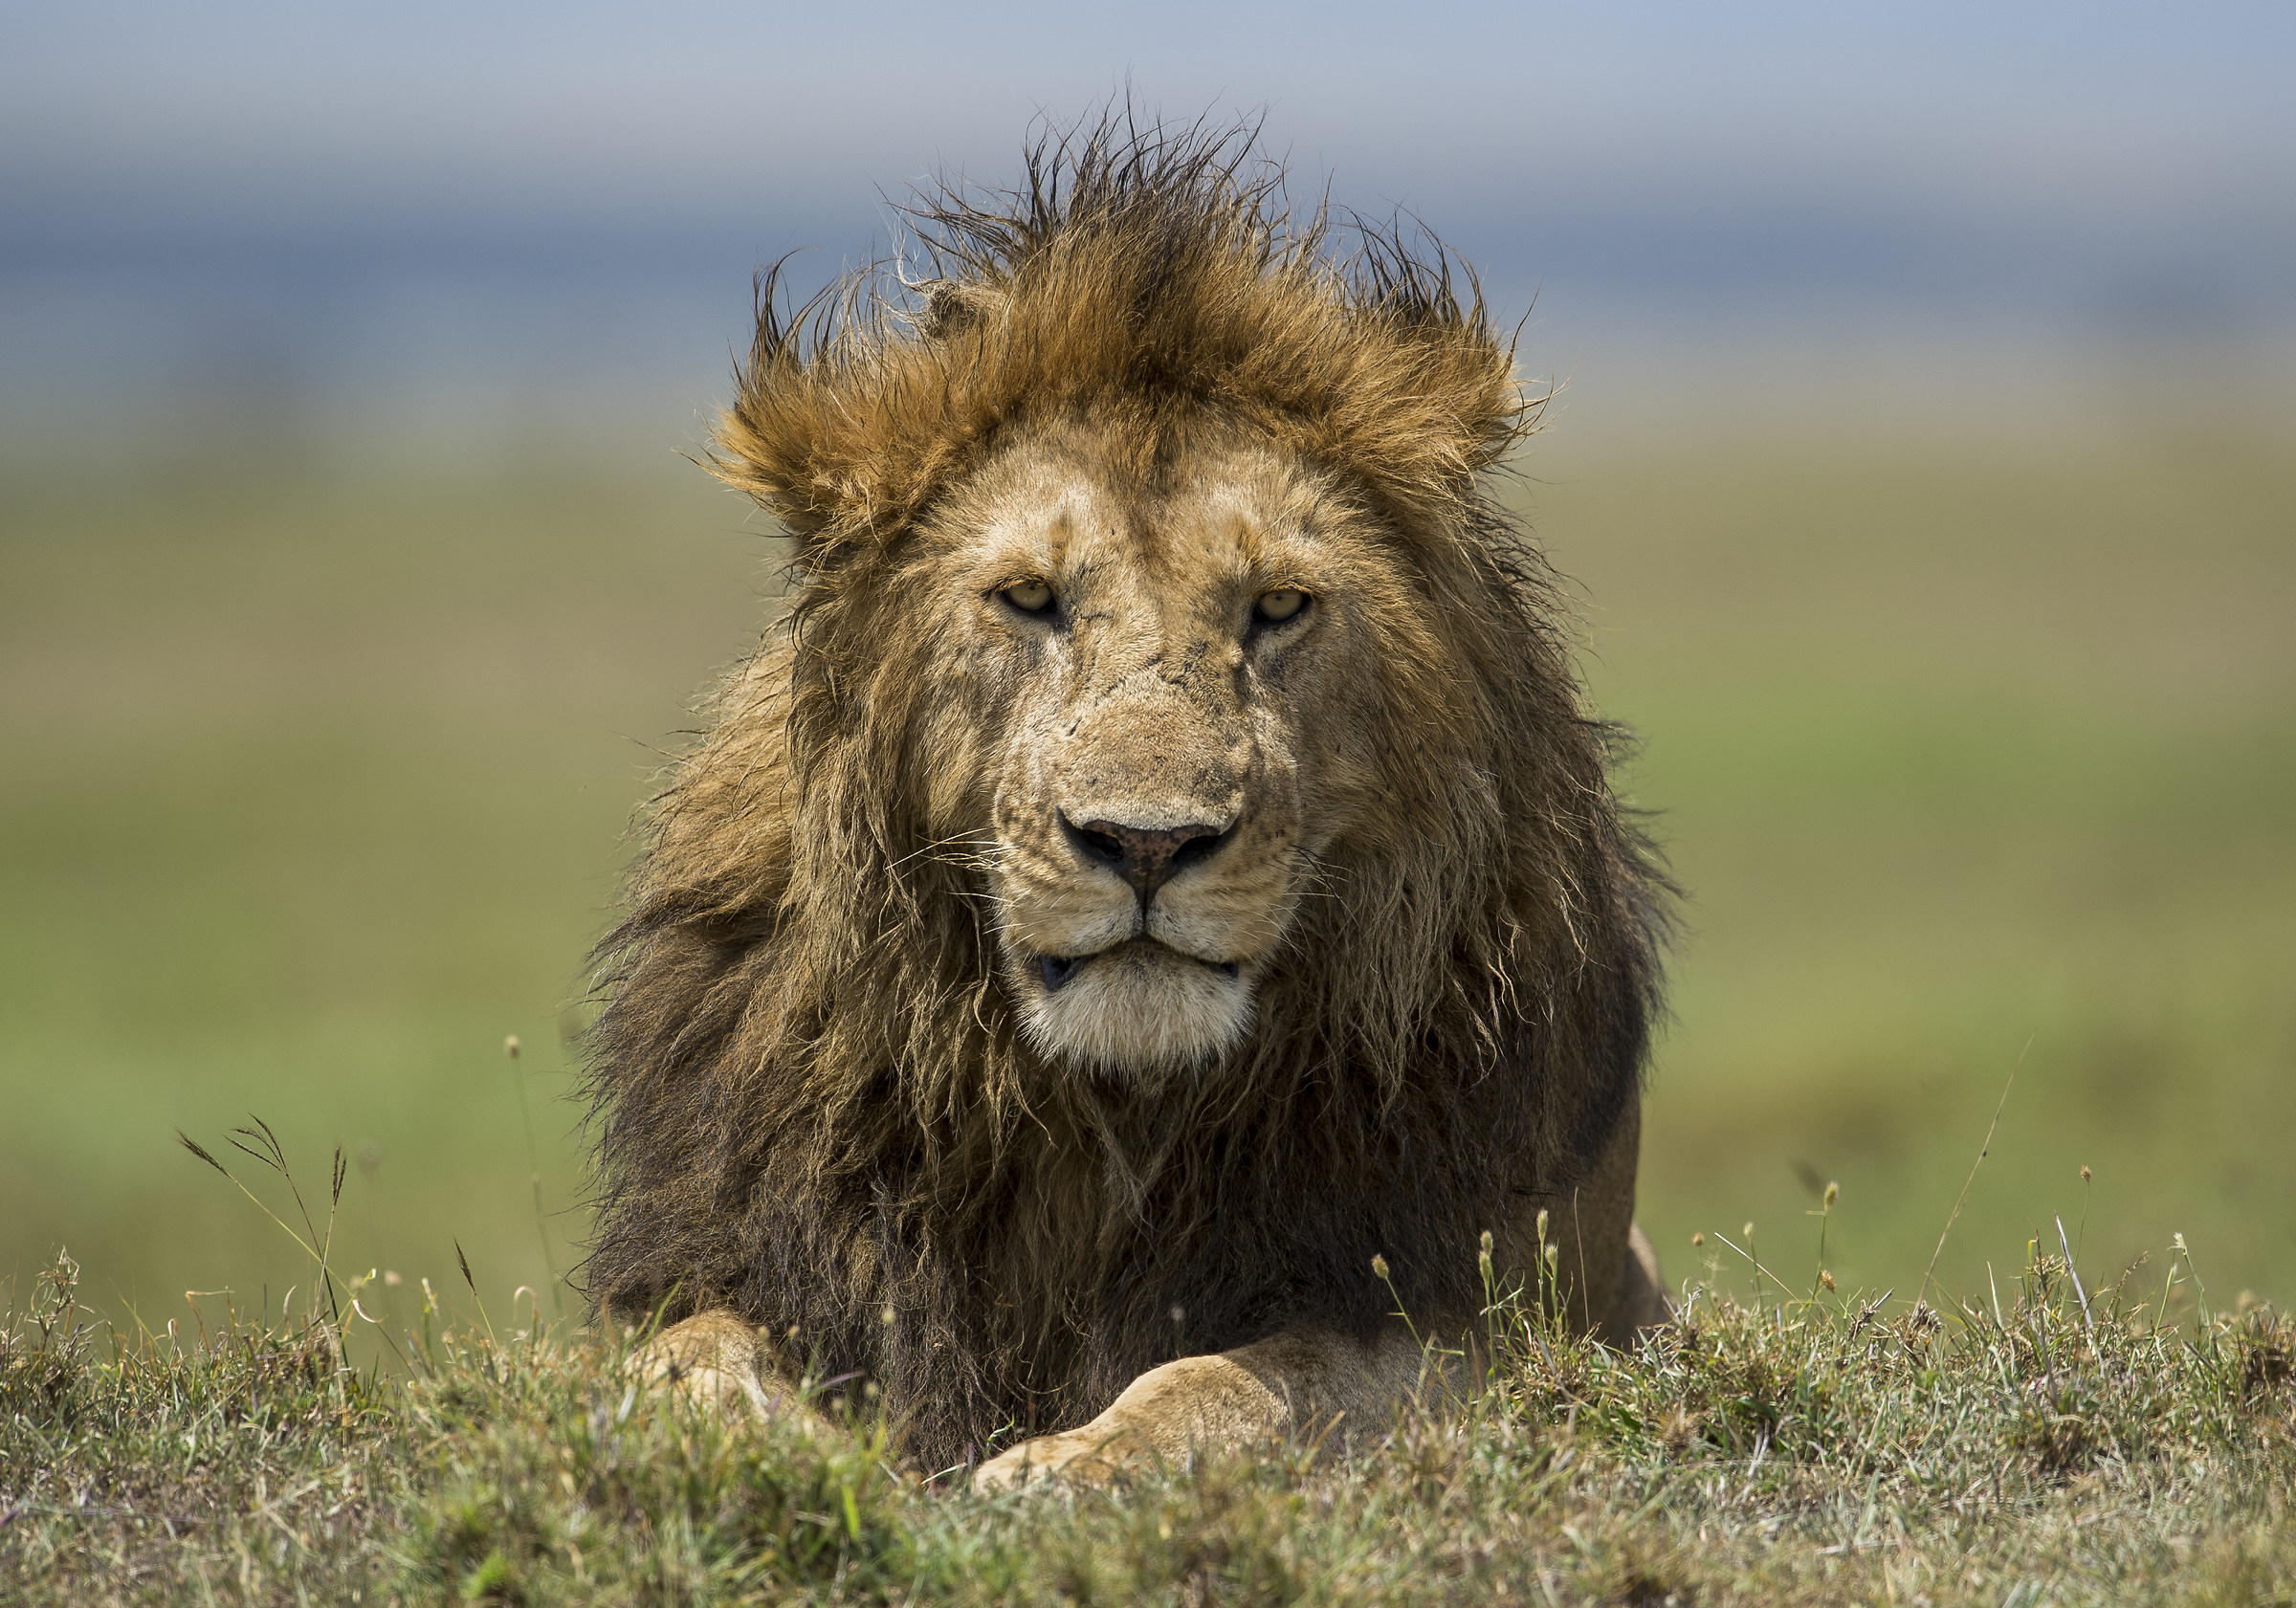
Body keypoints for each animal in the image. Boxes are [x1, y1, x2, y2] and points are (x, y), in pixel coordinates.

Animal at [582, 121, 1670, 1490]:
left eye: (1278, 605)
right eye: (1029, 597)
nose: (1147, 844)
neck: (1103, 1118)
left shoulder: (1480, 1317)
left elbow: (1246, 1384)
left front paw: (1069, 1467)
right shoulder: (752, 1255)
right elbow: (683, 1355)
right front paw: (790, 1454)